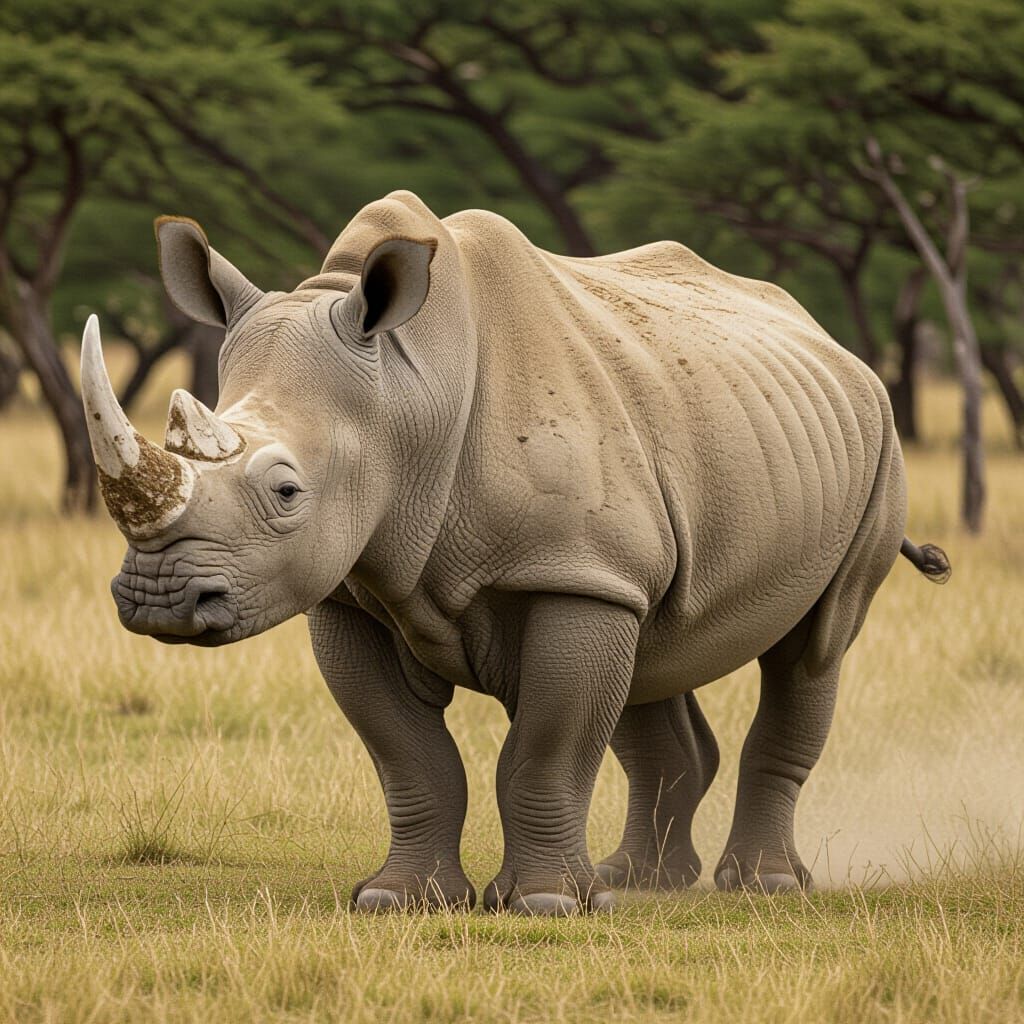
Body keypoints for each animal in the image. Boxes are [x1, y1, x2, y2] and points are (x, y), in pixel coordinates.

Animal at [82, 190, 949, 915]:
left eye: (287, 491)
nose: (159, 599)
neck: (406, 399)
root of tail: (827, 340)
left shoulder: (573, 574)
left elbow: (548, 747)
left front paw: (546, 905)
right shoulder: (351, 586)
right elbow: (407, 754)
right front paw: (401, 900)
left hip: (877, 452)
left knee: (814, 647)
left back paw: (760, 887)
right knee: (653, 653)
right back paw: (637, 881)